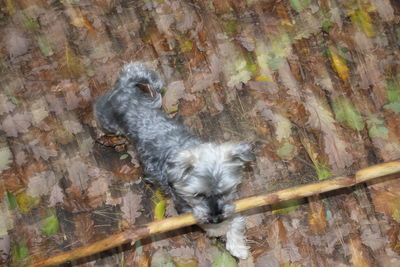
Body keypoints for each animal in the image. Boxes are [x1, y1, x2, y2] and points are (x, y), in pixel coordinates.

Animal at [94, 62, 253, 260]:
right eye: (198, 195)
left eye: (225, 192)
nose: (216, 217)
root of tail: (124, 87)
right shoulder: (185, 206)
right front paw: (220, 231)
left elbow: (234, 217)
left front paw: (237, 243)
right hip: (108, 121)